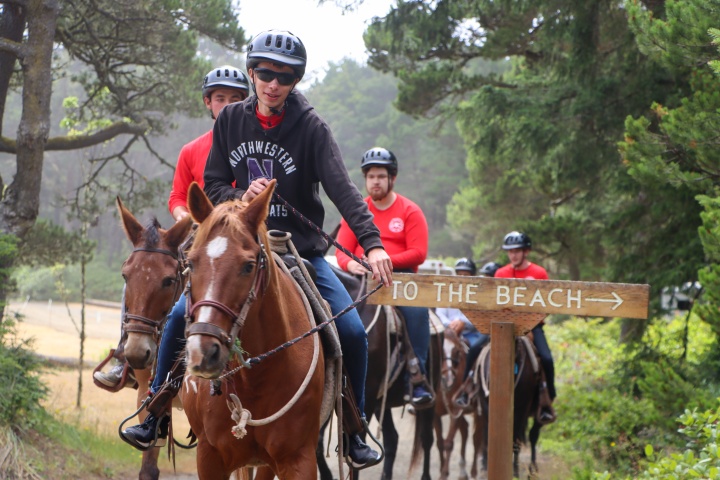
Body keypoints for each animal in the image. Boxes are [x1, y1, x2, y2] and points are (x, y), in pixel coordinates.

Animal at [180, 181, 326, 480]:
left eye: (248, 266)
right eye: (190, 263)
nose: (203, 353)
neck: (256, 378)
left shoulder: (299, 459)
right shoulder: (209, 458)